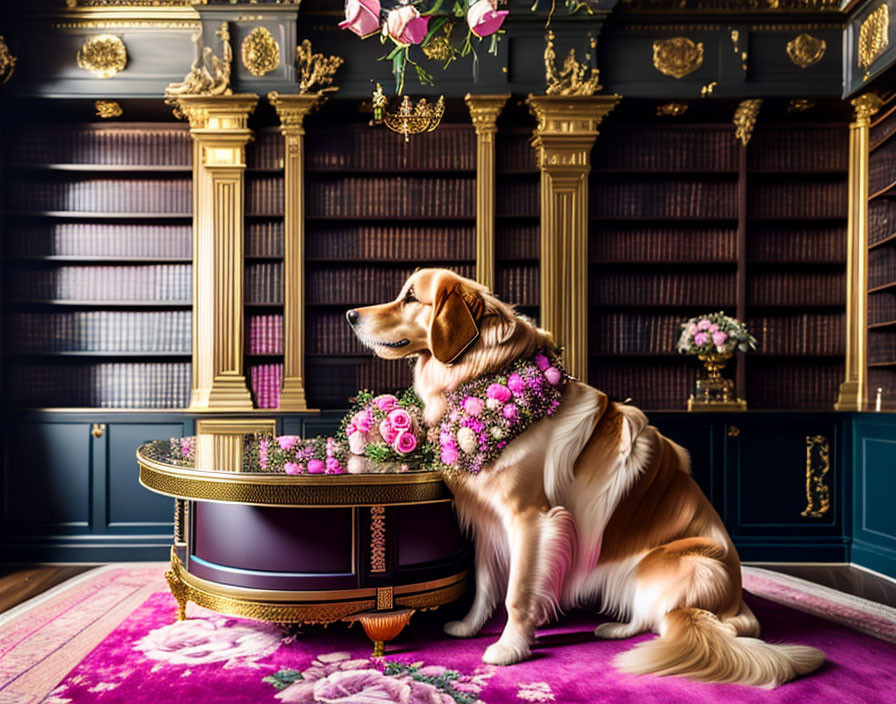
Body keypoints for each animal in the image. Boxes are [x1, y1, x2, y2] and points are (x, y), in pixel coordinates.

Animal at [344, 266, 824, 684]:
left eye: (410, 297)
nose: (350, 315)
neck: (485, 373)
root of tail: (735, 608)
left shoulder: (532, 519)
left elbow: (517, 592)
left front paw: (510, 649)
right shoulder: (486, 519)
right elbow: (484, 583)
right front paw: (469, 626)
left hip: (678, 564)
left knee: (665, 617)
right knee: (650, 617)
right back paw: (614, 628)